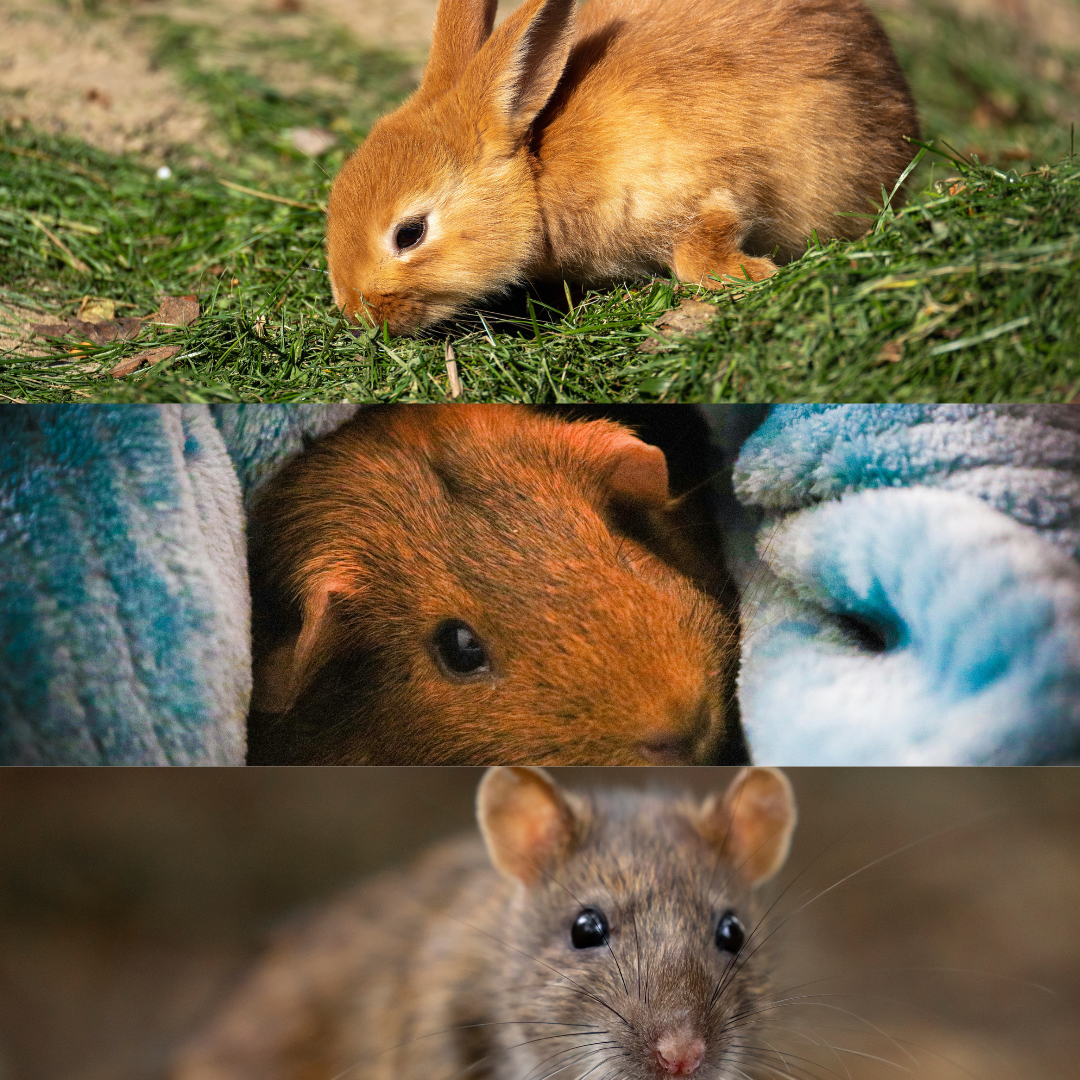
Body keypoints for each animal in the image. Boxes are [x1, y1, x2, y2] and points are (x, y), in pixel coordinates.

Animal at [325, 0, 920, 334]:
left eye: (409, 234)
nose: (359, 317)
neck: (536, 174)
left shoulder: (704, 190)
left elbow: (700, 251)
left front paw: (753, 275)